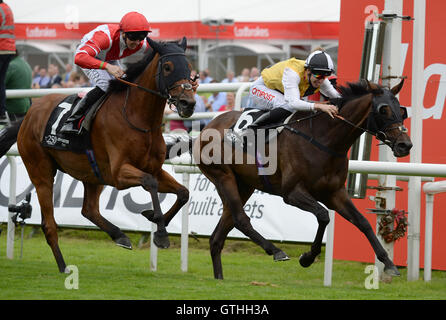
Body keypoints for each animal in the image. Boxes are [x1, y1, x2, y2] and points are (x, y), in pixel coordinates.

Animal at [3, 37, 195, 272]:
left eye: (189, 67)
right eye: (167, 67)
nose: (188, 103)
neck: (138, 118)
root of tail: (28, 115)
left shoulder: (154, 168)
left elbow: (183, 193)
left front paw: (156, 220)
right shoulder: (120, 173)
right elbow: (150, 183)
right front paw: (159, 231)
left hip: (92, 173)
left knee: (89, 210)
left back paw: (119, 235)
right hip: (41, 172)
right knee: (49, 223)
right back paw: (63, 266)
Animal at [193, 79, 412, 278]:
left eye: (402, 111)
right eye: (383, 110)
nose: (405, 145)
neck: (324, 139)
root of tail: (207, 127)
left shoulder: (335, 193)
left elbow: (363, 222)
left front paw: (388, 263)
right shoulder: (292, 193)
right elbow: (323, 216)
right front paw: (307, 257)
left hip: (244, 185)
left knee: (218, 235)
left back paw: (219, 278)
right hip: (224, 177)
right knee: (240, 219)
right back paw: (276, 251)